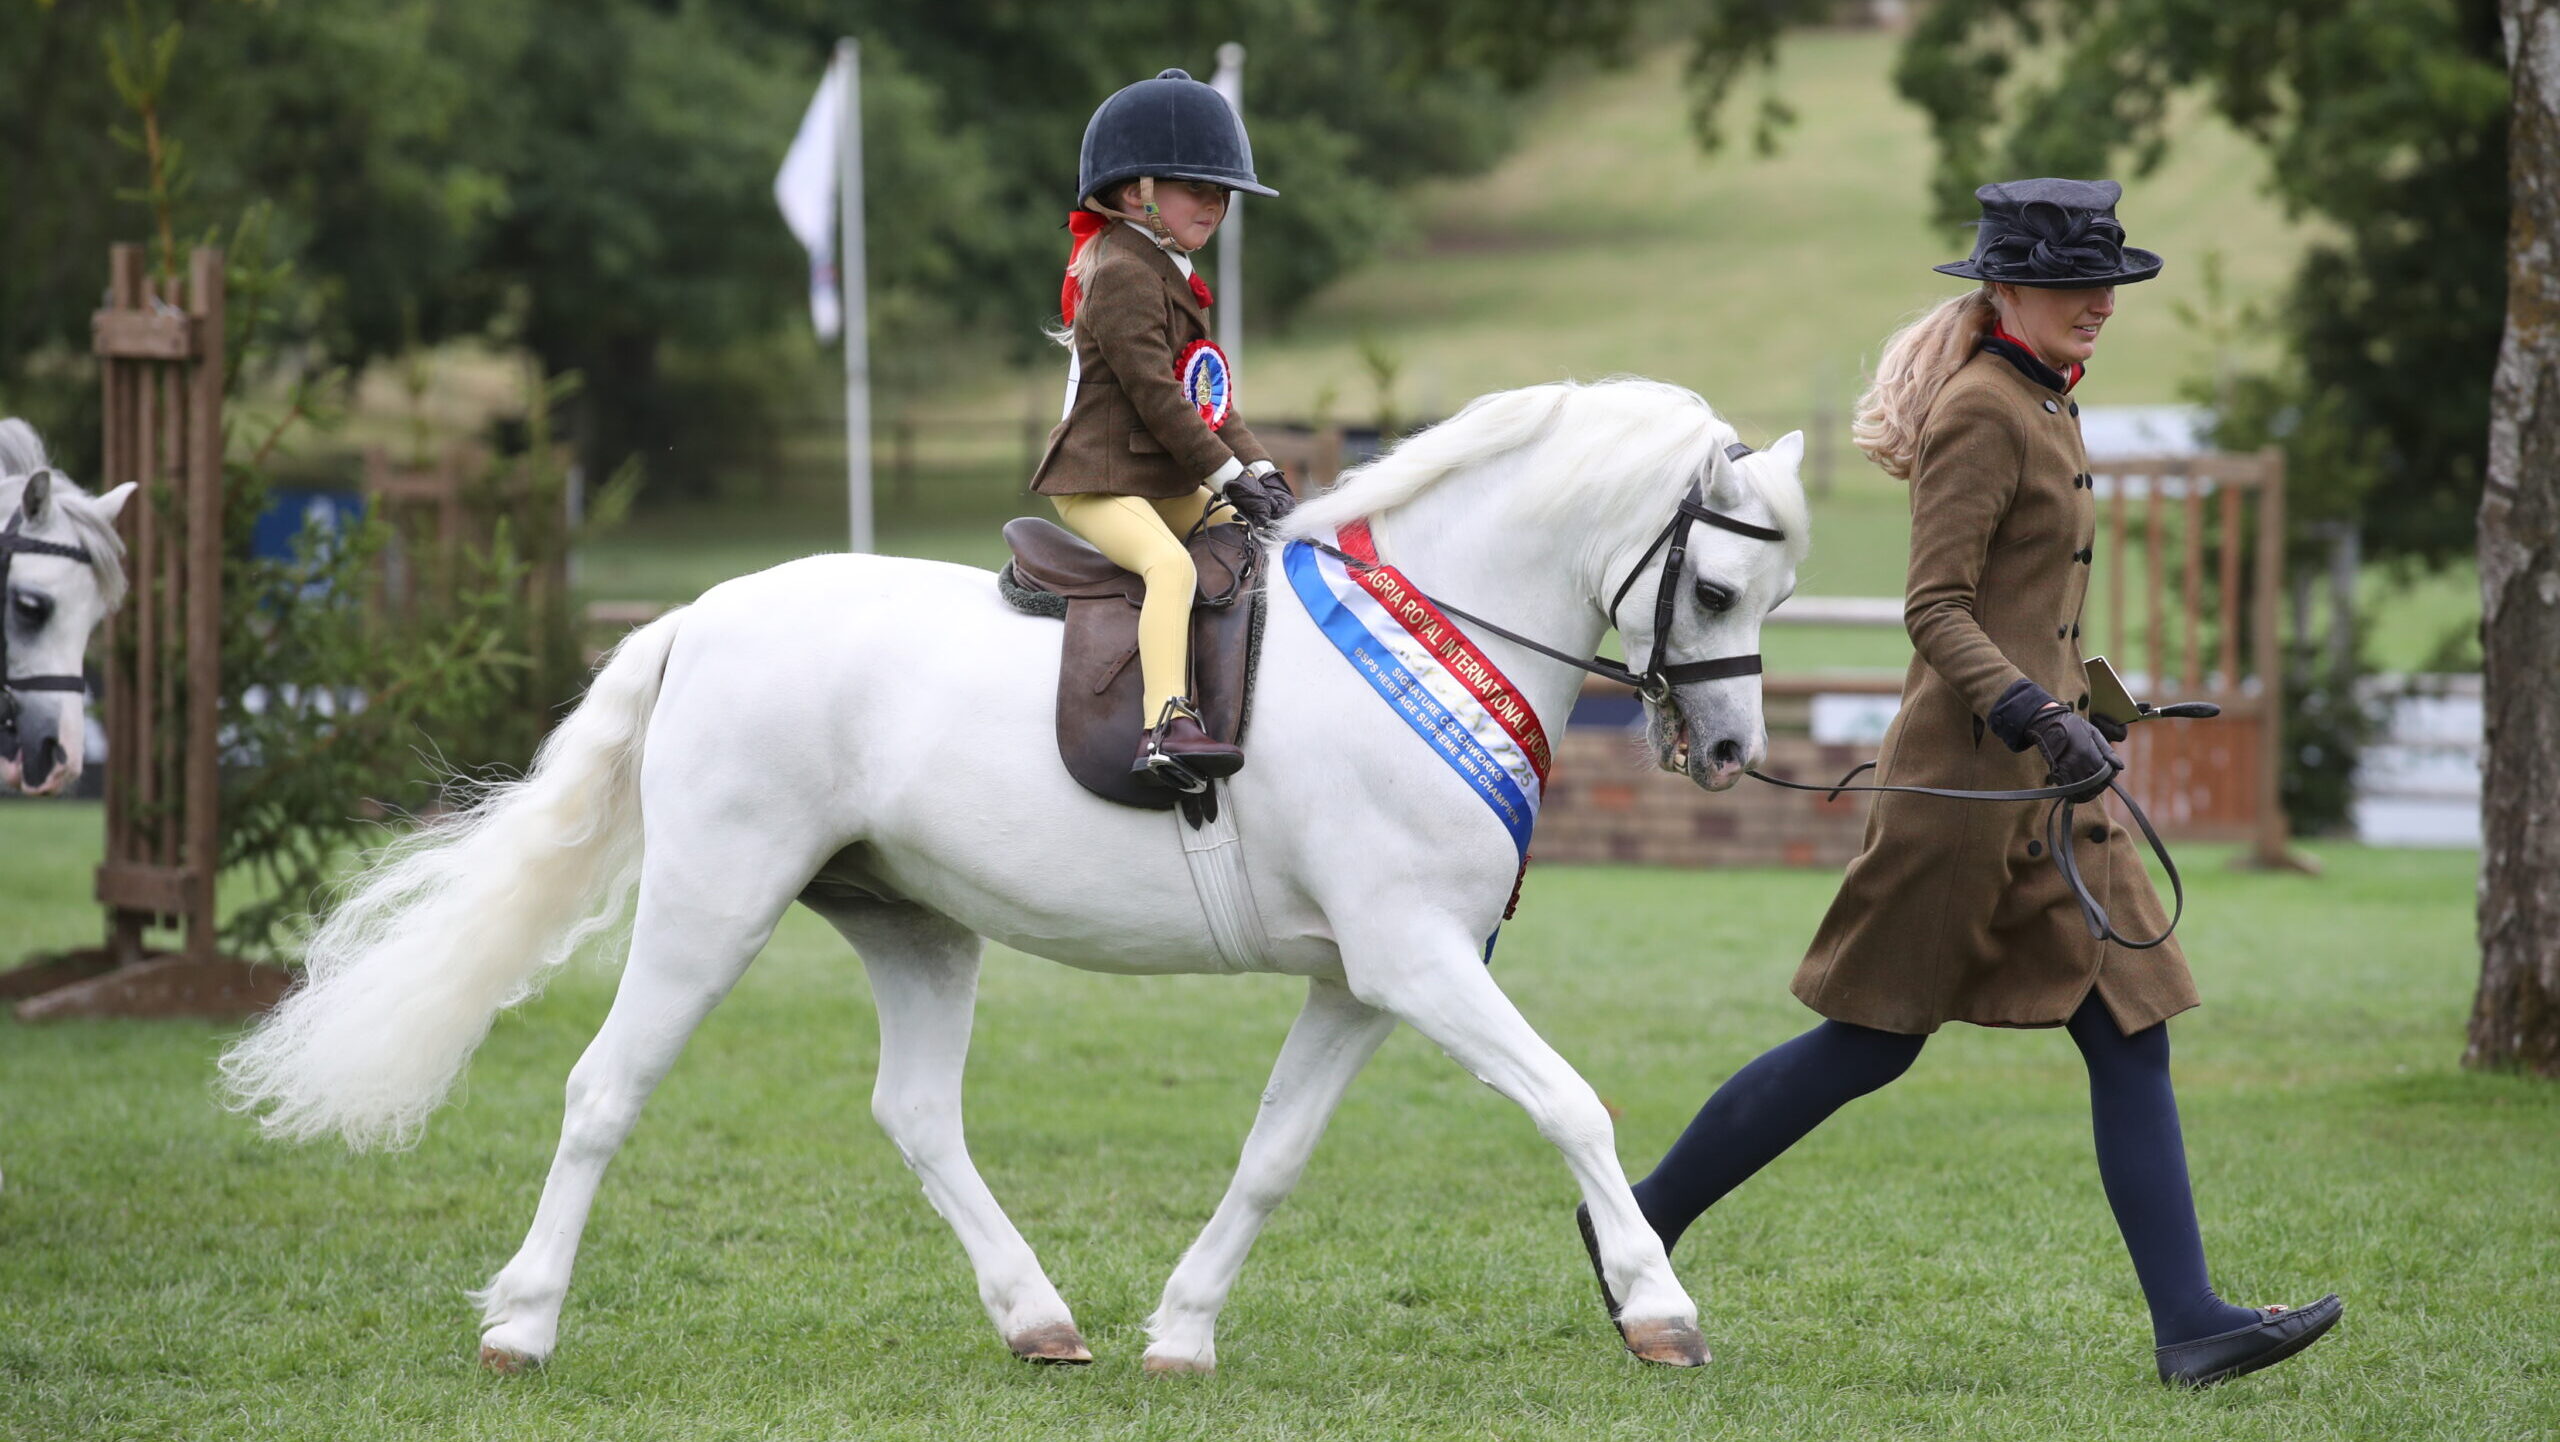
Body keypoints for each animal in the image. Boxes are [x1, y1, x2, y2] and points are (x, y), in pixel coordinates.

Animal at [218, 378, 1810, 1375]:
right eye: (1715, 587)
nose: (1733, 748)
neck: (1426, 624)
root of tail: (699, 617)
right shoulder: (1413, 958)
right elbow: (1574, 1102)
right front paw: (1659, 1310)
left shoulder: (1369, 980)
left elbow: (1274, 1152)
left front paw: (1182, 1331)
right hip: (713, 902)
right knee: (607, 1090)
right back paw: (522, 1326)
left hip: (913, 923)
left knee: (916, 1113)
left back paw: (1040, 1318)